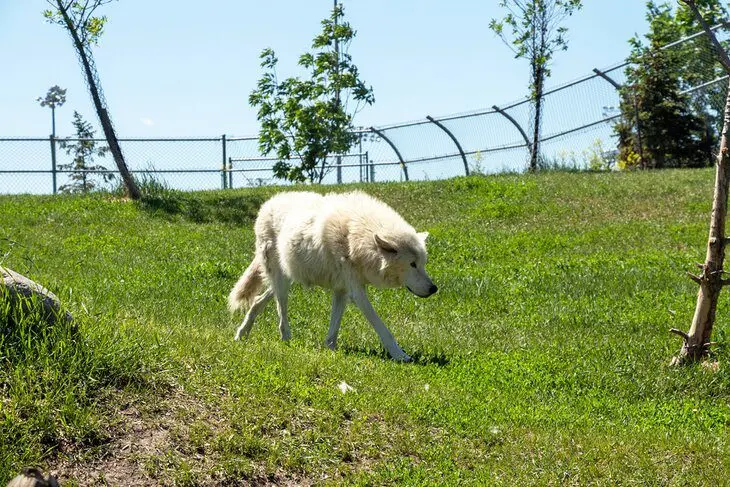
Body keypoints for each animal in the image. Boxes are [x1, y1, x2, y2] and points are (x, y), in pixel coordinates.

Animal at [228, 191, 436, 362]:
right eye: (412, 264)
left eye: (422, 263)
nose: (434, 288)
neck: (356, 237)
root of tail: (267, 204)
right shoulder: (356, 292)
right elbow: (382, 327)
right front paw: (400, 355)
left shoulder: (342, 290)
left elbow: (334, 326)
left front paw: (330, 349)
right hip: (282, 282)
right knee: (281, 313)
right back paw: (286, 339)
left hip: (287, 279)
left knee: (257, 300)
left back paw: (241, 334)